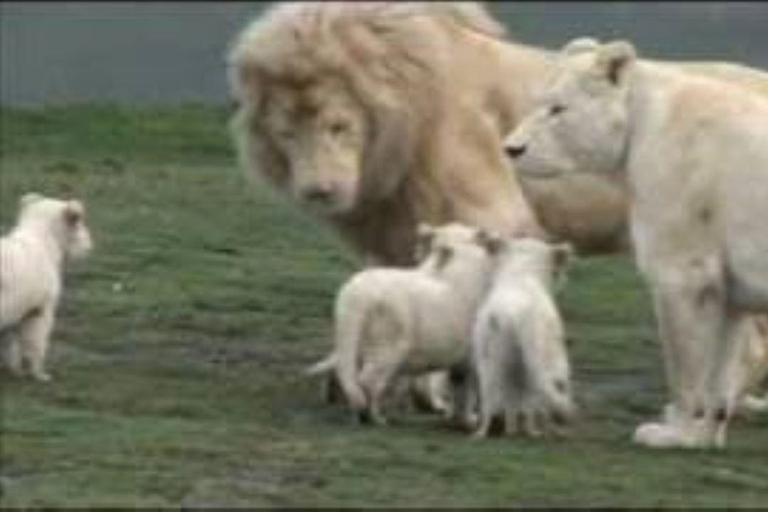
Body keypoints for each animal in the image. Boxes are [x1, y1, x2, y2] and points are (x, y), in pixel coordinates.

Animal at [0, 194, 93, 382]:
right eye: (80, 221)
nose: (90, 245)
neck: (45, 244)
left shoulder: (17, 309)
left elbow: (12, 342)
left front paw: (15, 370)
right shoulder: (42, 307)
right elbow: (37, 341)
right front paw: (40, 374)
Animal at [468, 238, 576, 438]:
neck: (521, 274)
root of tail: (514, 314)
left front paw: (512, 428)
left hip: (491, 360)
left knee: (492, 397)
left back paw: (484, 432)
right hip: (545, 357)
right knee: (542, 391)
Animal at [508, 39, 768, 448]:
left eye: (557, 108)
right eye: (538, 102)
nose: (511, 148)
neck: (642, 124)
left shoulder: (684, 271)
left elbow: (685, 362)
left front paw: (673, 432)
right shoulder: (728, 287)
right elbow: (719, 366)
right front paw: (704, 435)